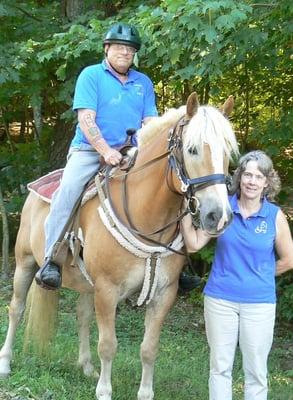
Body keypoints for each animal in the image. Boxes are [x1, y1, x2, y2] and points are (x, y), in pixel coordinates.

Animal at [0, 93, 237, 400]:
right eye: (192, 149)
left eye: (228, 151)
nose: (217, 216)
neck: (144, 216)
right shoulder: (107, 289)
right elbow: (108, 345)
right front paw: (104, 391)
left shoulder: (164, 294)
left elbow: (149, 349)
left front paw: (144, 393)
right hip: (25, 263)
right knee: (16, 308)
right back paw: (5, 363)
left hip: (84, 282)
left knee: (82, 315)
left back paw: (87, 367)